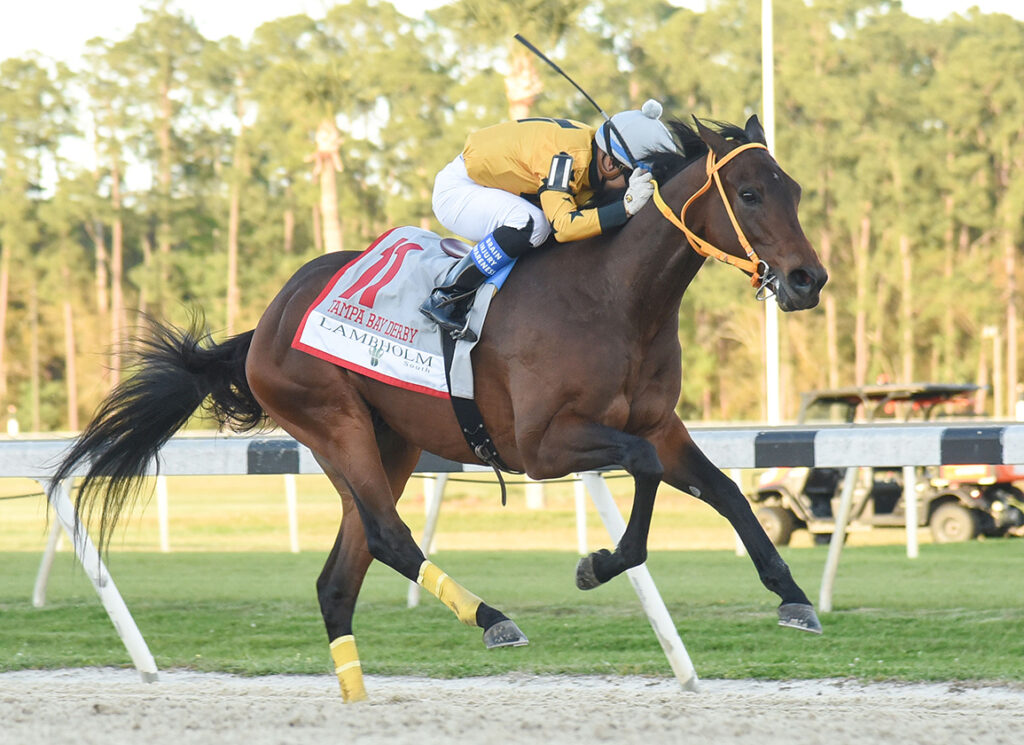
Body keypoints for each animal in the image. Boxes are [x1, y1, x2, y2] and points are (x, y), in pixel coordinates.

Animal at [51, 113, 827, 699]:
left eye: (792, 189)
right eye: (749, 193)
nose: (807, 279)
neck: (614, 296)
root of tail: (269, 317)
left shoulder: (659, 424)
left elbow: (724, 489)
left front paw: (792, 594)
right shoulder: (543, 445)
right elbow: (640, 479)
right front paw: (598, 563)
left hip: (387, 443)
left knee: (341, 574)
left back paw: (359, 696)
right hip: (333, 423)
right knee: (390, 538)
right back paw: (491, 617)